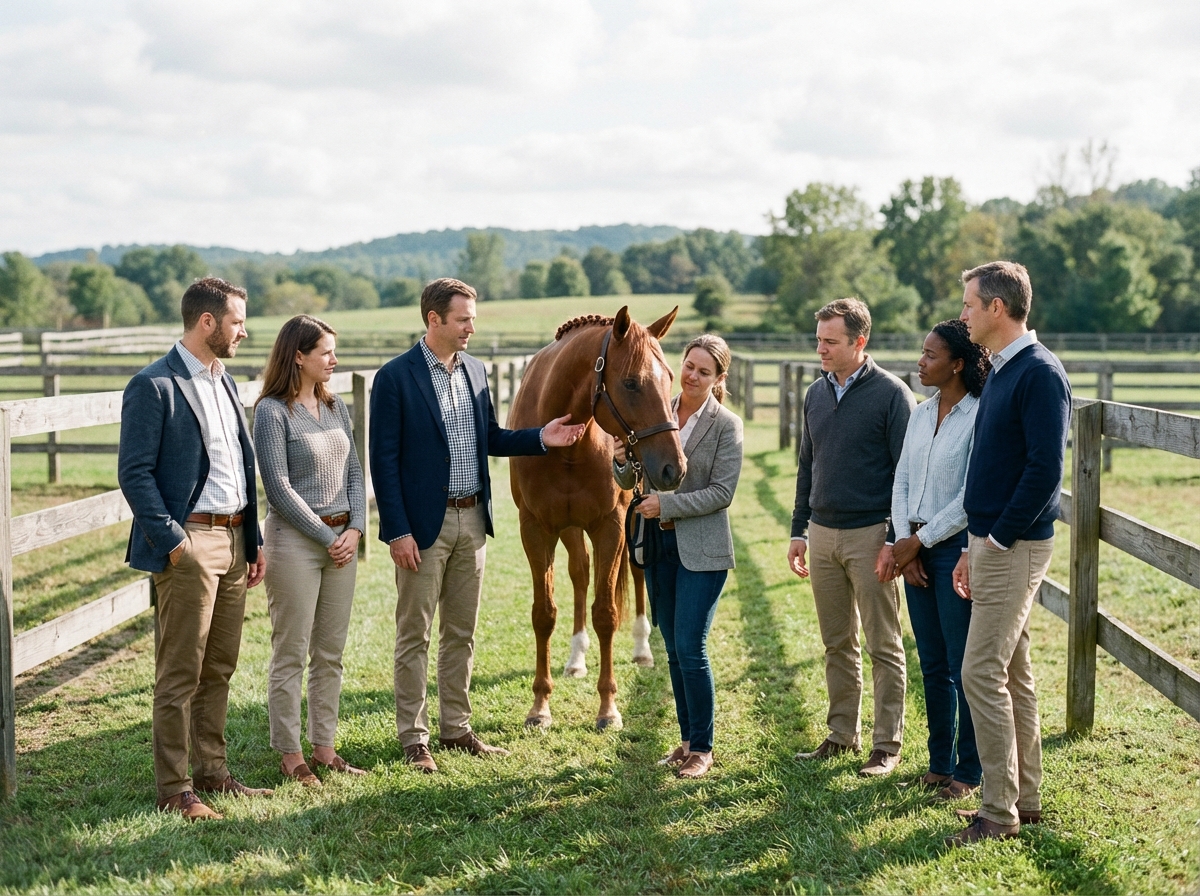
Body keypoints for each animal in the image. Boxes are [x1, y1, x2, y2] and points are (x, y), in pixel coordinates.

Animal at [509, 306, 686, 730]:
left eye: (670, 377)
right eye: (631, 383)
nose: (674, 467)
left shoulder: (611, 525)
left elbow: (606, 612)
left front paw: (608, 708)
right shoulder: (536, 529)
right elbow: (544, 613)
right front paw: (540, 707)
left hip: (637, 517)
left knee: (635, 574)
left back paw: (642, 649)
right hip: (572, 529)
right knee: (580, 572)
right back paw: (575, 658)